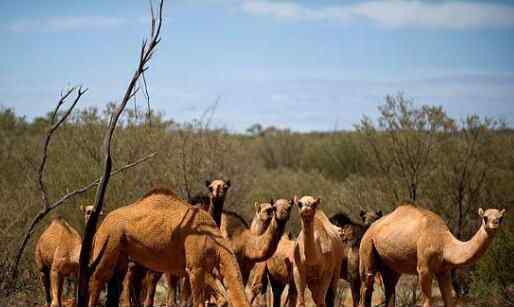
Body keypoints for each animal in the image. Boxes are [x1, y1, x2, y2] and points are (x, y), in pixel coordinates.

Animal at [87, 189, 248, 307]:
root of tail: (102, 224)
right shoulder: (195, 267)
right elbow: (199, 302)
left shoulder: (203, 269)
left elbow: (221, 298)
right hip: (108, 241)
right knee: (99, 277)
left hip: (122, 255)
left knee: (118, 282)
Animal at [356, 205, 504, 307]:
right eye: (485, 217)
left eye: (501, 218)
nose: (495, 223)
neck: (444, 243)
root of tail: (370, 229)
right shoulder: (424, 269)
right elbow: (427, 302)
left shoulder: (444, 270)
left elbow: (449, 301)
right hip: (367, 246)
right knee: (366, 285)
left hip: (391, 266)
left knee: (390, 287)